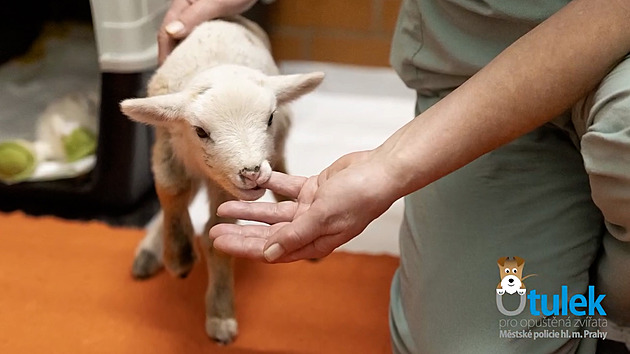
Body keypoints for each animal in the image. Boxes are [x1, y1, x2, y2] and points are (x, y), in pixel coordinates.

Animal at [119, 16, 326, 342]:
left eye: (269, 118)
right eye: (200, 131)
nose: (252, 172)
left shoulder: (226, 186)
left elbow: (216, 236)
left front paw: (220, 314)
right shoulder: (167, 144)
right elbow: (171, 190)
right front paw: (178, 256)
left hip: (277, 143)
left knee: (279, 162)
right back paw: (151, 252)